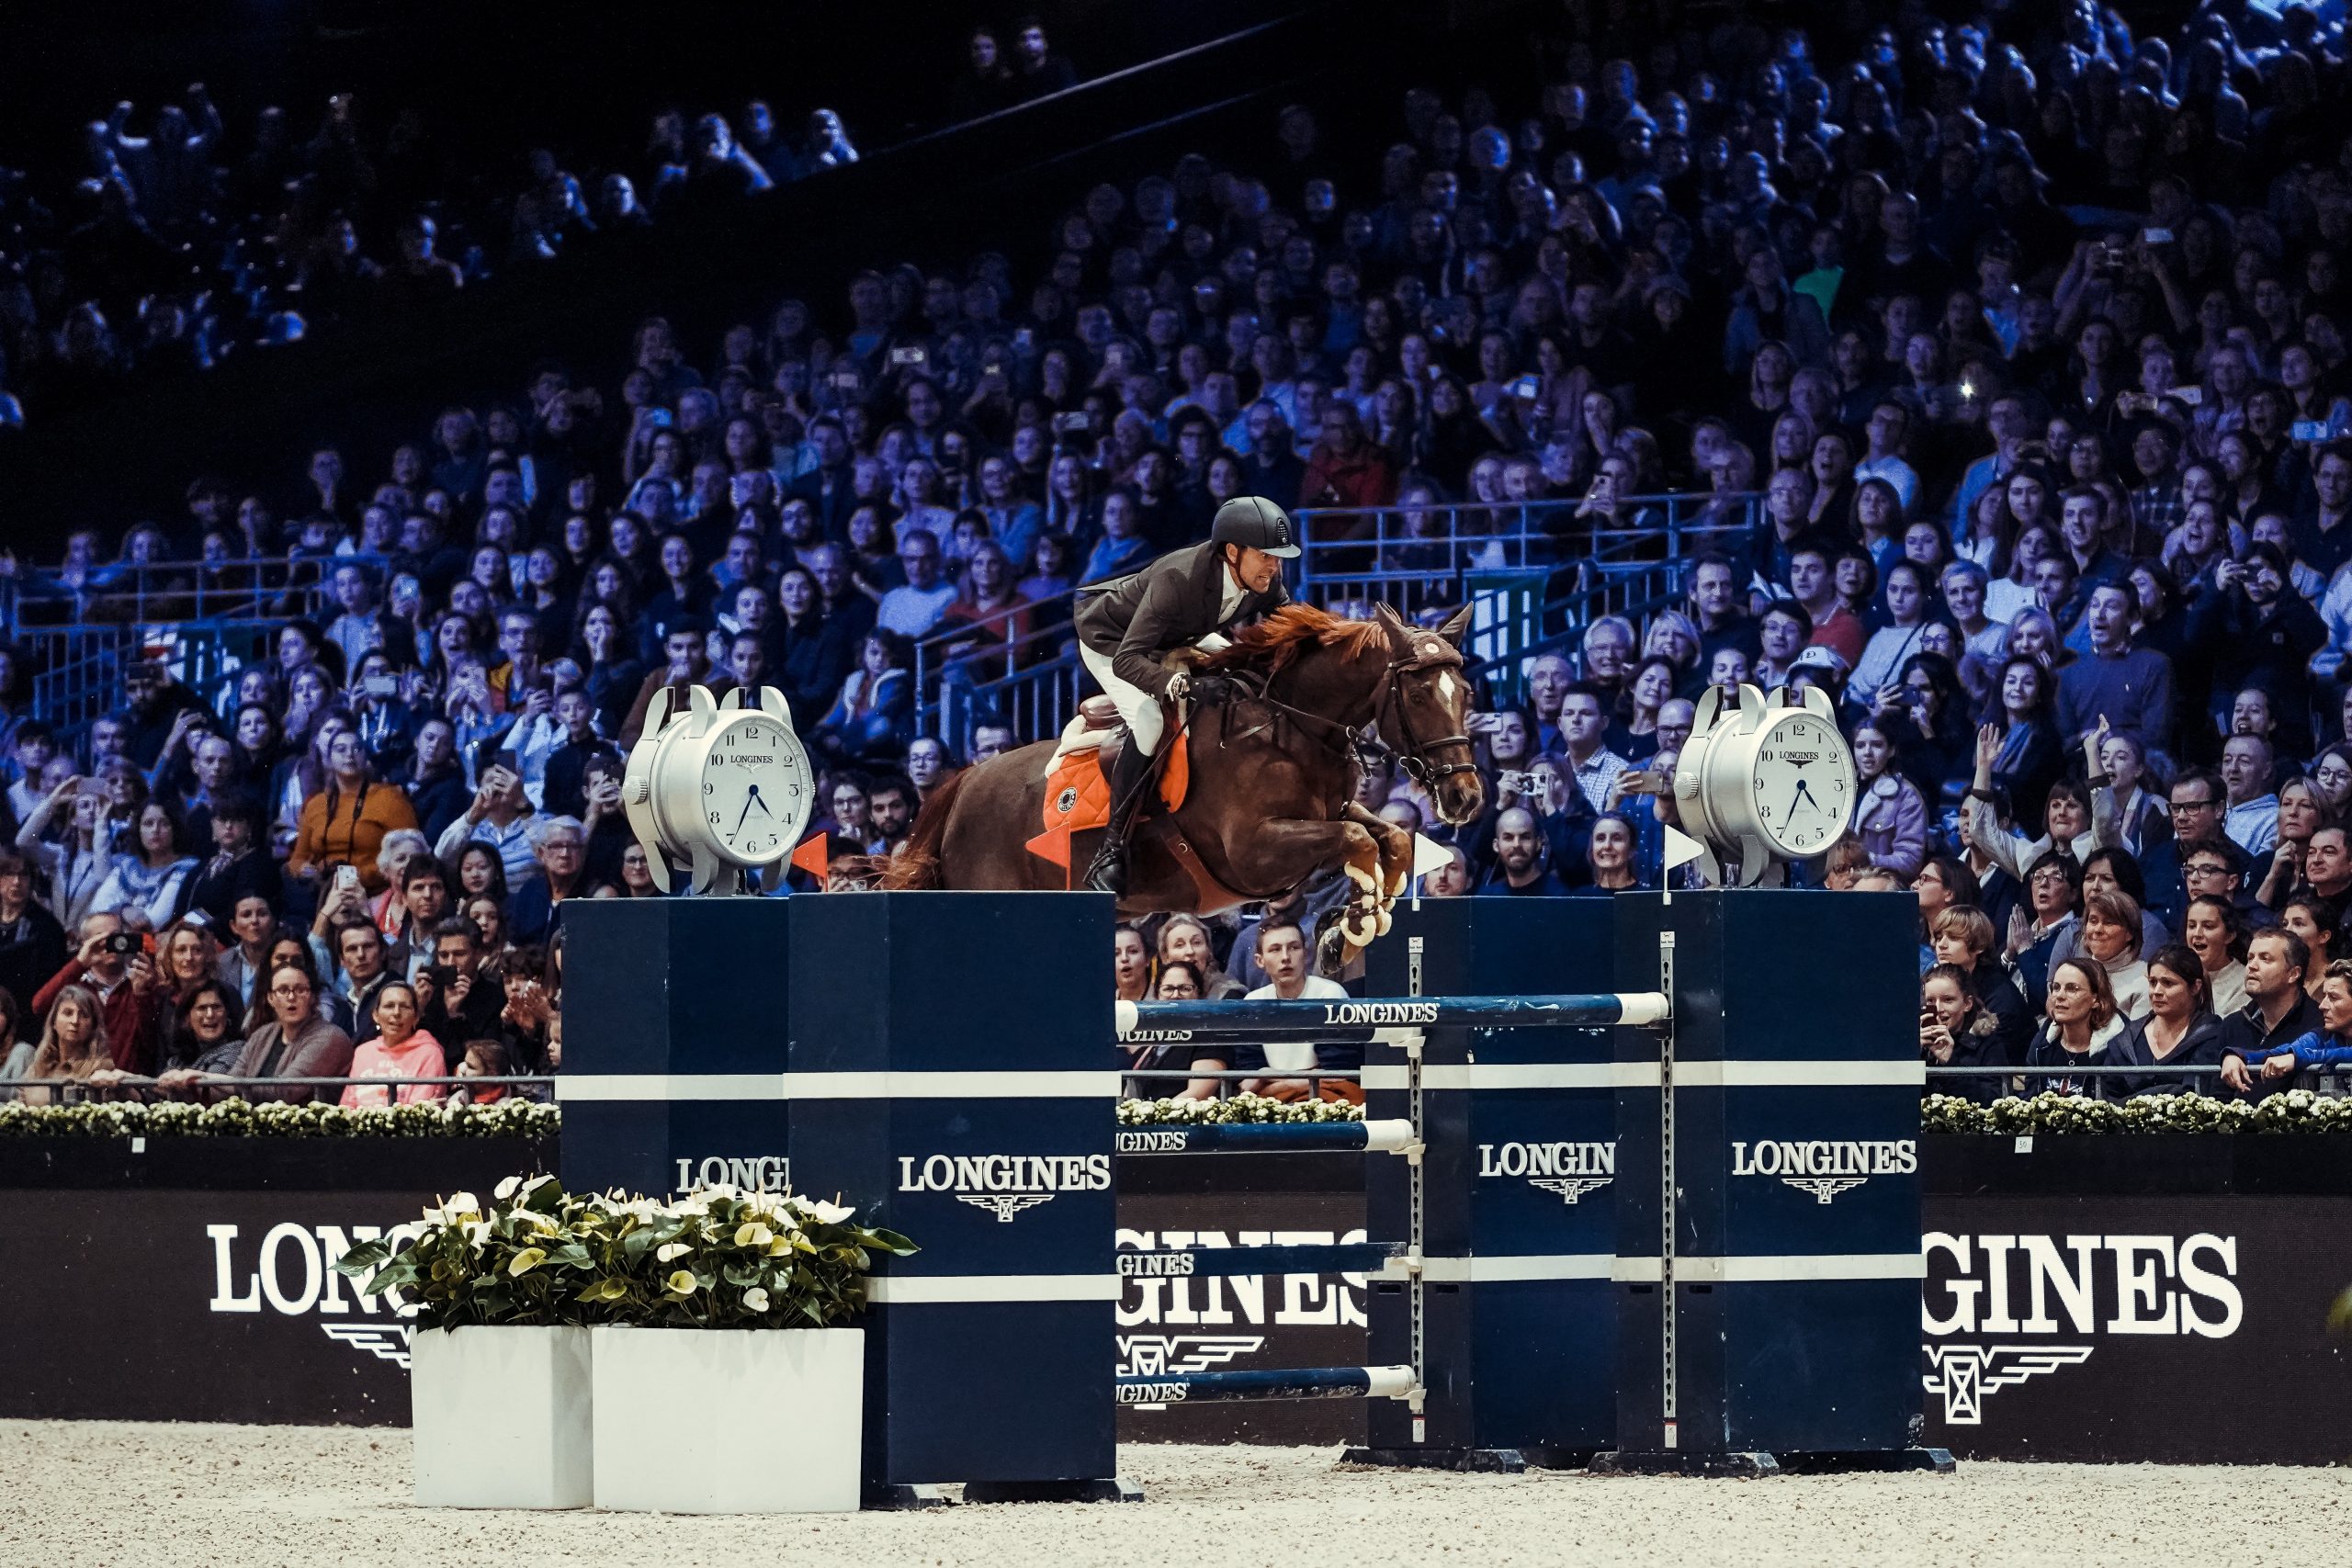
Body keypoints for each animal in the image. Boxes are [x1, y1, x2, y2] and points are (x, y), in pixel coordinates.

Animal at [888, 606, 1476, 964]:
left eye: (1466, 692)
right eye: (1418, 696)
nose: (1465, 797)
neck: (1290, 726)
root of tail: (964, 784)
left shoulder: (1334, 811)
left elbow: (1391, 840)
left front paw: (1349, 929)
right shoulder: (1255, 852)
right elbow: (1357, 842)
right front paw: (1351, 926)